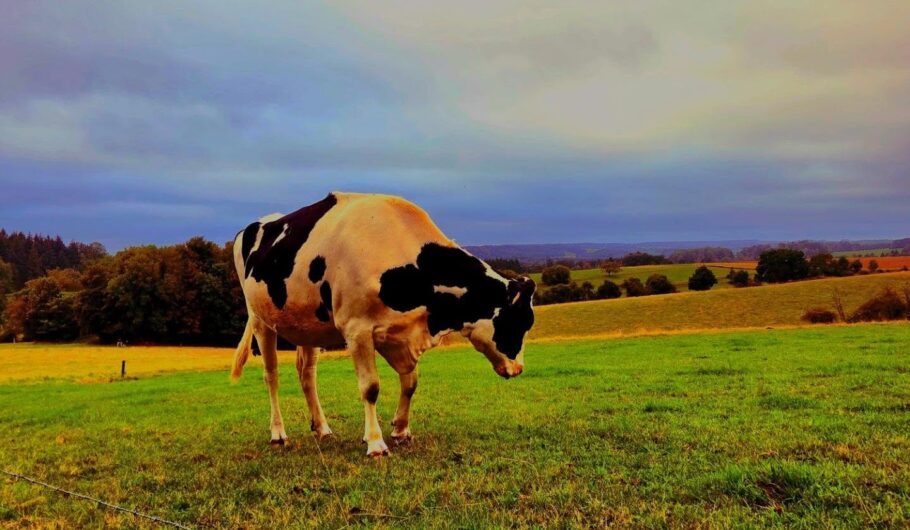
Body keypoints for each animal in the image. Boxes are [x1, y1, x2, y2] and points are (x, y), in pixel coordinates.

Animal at [231, 192, 536, 457]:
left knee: (307, 374)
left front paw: (401, 430)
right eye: (520, 322)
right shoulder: (358, 331)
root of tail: (251, 227)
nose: (518, 369)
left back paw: (322, 428)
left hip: (308, 325)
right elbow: (371, 387)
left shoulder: (400, 335)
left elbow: (410, 382)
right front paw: (376, 443)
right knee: (271, 376)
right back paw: (278, 433)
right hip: (260, 320)